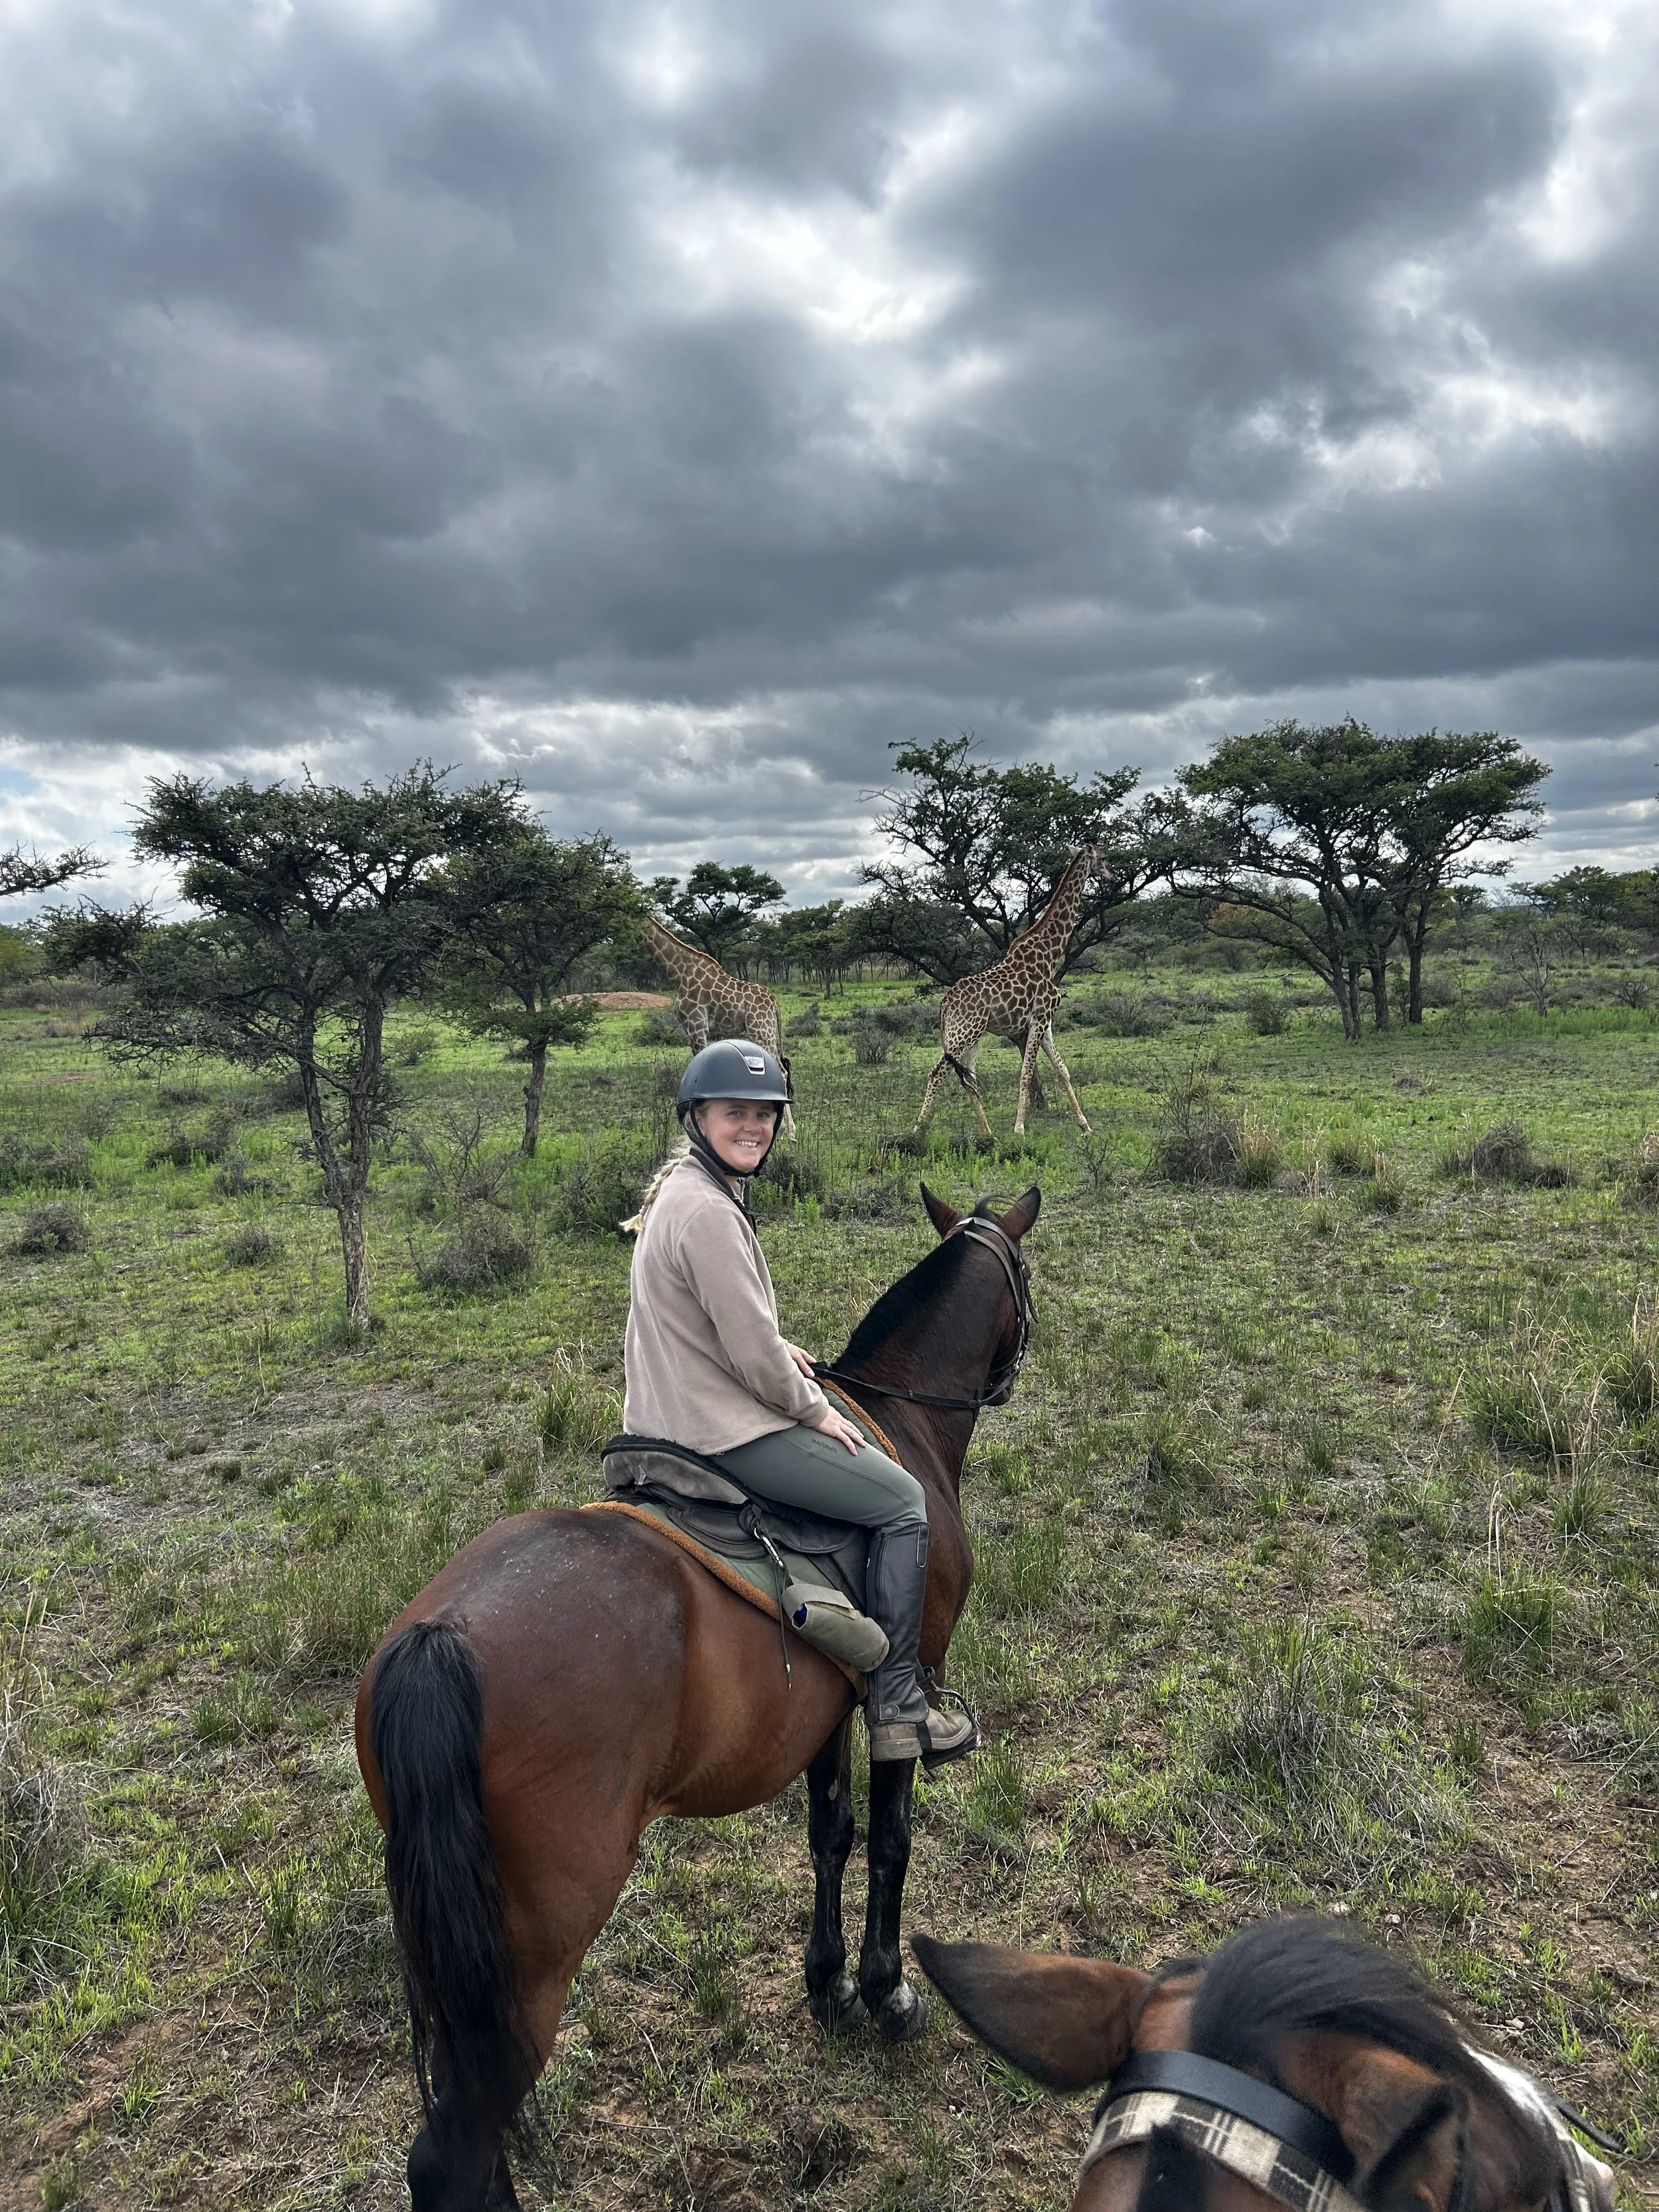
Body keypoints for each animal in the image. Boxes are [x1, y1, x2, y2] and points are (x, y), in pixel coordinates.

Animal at [354, 1183, 1039, 2212]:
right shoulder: (900, 1690)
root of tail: (443, 1639)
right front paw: (886, 1992)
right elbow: (889, 1838)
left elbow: (831, 1833)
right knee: (453, 2149)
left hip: (449, 1951)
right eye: (1028, 1274)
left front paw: (829, 1989)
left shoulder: (828, 1708)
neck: (902, 1424)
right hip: (533, 1949)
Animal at [642, 916, 796, 1138]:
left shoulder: (697, 1025)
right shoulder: (691, 1028)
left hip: (761, 1030)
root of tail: (774, 1002)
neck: (679, 976)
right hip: (766, 1031)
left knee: (782, 1073)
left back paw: (789, 1131)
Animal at [913, 847, 1098, 1137]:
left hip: (970, 1036)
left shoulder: (1046, 1024)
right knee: (937, 1074)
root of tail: (944, 1005)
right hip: (963, 1035)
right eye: (1103, 858)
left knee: (968, 1080)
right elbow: (1027, 1074)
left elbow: (1062, 1070)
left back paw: (988, 1134)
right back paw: (917, 1133)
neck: (1049, 955)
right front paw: (1020, 1128)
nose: (1112, 874)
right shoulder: (1038, 1019)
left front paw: (1085, 1125)